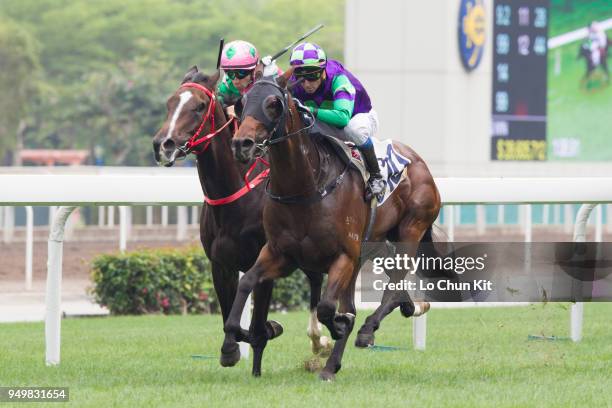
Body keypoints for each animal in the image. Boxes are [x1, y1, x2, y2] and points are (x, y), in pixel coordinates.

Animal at [151, 67, 330, 366]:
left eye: (200, 106)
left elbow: (257, 325)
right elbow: (230, 321)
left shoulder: (265, 260)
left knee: (318, 282)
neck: (236, 196)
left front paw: (269, 328)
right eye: (169, 103)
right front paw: (232, 349)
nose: (163, 145)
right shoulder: (221, 264)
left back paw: (320, 339)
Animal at [225, 74, 440, 382]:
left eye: (274, 103)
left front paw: (339, 327)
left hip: (410, 230)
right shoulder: (280, 254)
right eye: (241, 103)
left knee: (395, 279)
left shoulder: (343, 256)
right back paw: (332, 365)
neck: (306, 186)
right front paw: (248, 335)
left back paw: (367, 329)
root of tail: (419, 161)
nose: (242, 144)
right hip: (372, 247)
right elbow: (245, 286)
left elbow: (328, 309)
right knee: (375, 292)